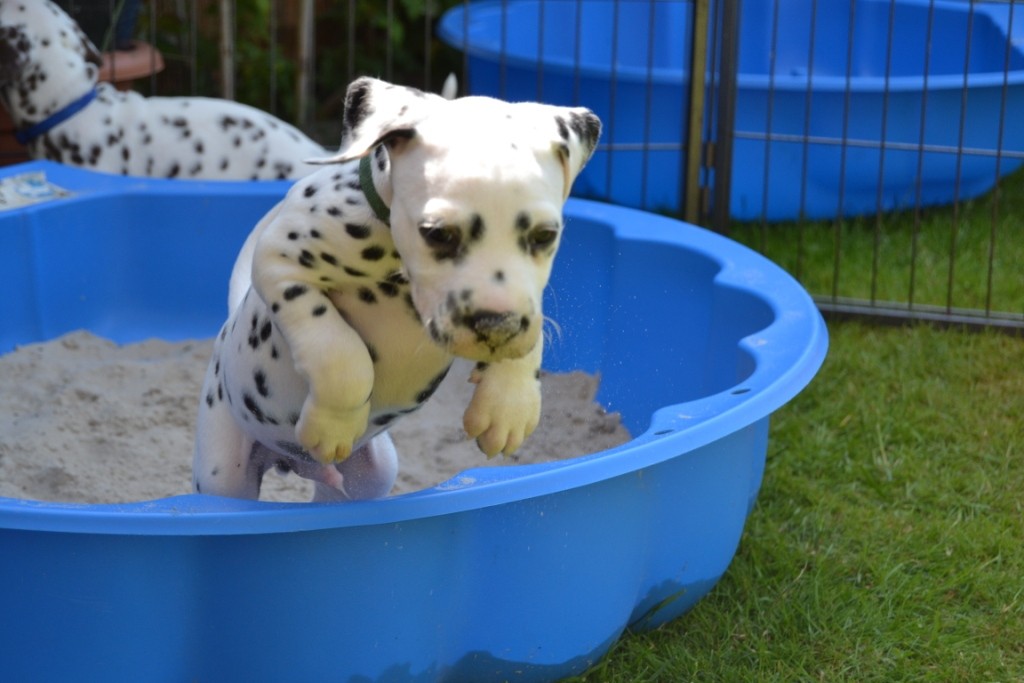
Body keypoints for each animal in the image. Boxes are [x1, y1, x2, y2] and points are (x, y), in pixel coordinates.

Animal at [192, 76, 598, 501]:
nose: (495, 326)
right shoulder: (279, 263)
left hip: (371, 474)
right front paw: (333, 423)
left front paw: (509, 406)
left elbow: (531, 334)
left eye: (545, 235)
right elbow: (340, 352)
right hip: (224, 471)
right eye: (437, 233)